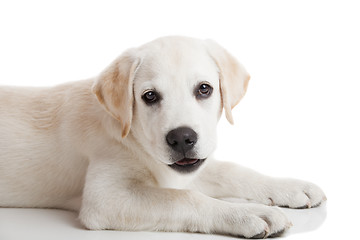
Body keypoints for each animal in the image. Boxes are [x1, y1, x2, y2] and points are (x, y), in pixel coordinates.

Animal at [0, 36, 326, 238]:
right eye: (150, 96)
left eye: (204, 89)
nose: (182, 138)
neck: (132, 136)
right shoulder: (105, 198)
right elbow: (185, 198)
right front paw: (249, 213)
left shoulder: (186, 170)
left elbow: (233, 171)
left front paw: (290, 187)